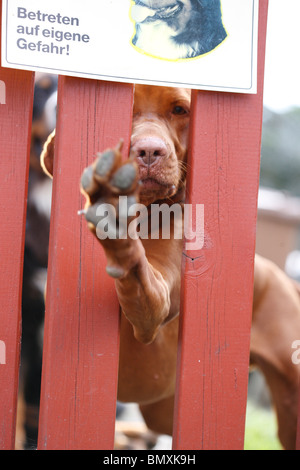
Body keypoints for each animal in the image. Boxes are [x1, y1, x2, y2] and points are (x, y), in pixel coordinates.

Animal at [41, 85, 300, 452]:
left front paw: (114, 217)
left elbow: (139, 275)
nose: (149, 151)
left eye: (179, 109)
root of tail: (282, 278)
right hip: (163, 407)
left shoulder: (155, 302)